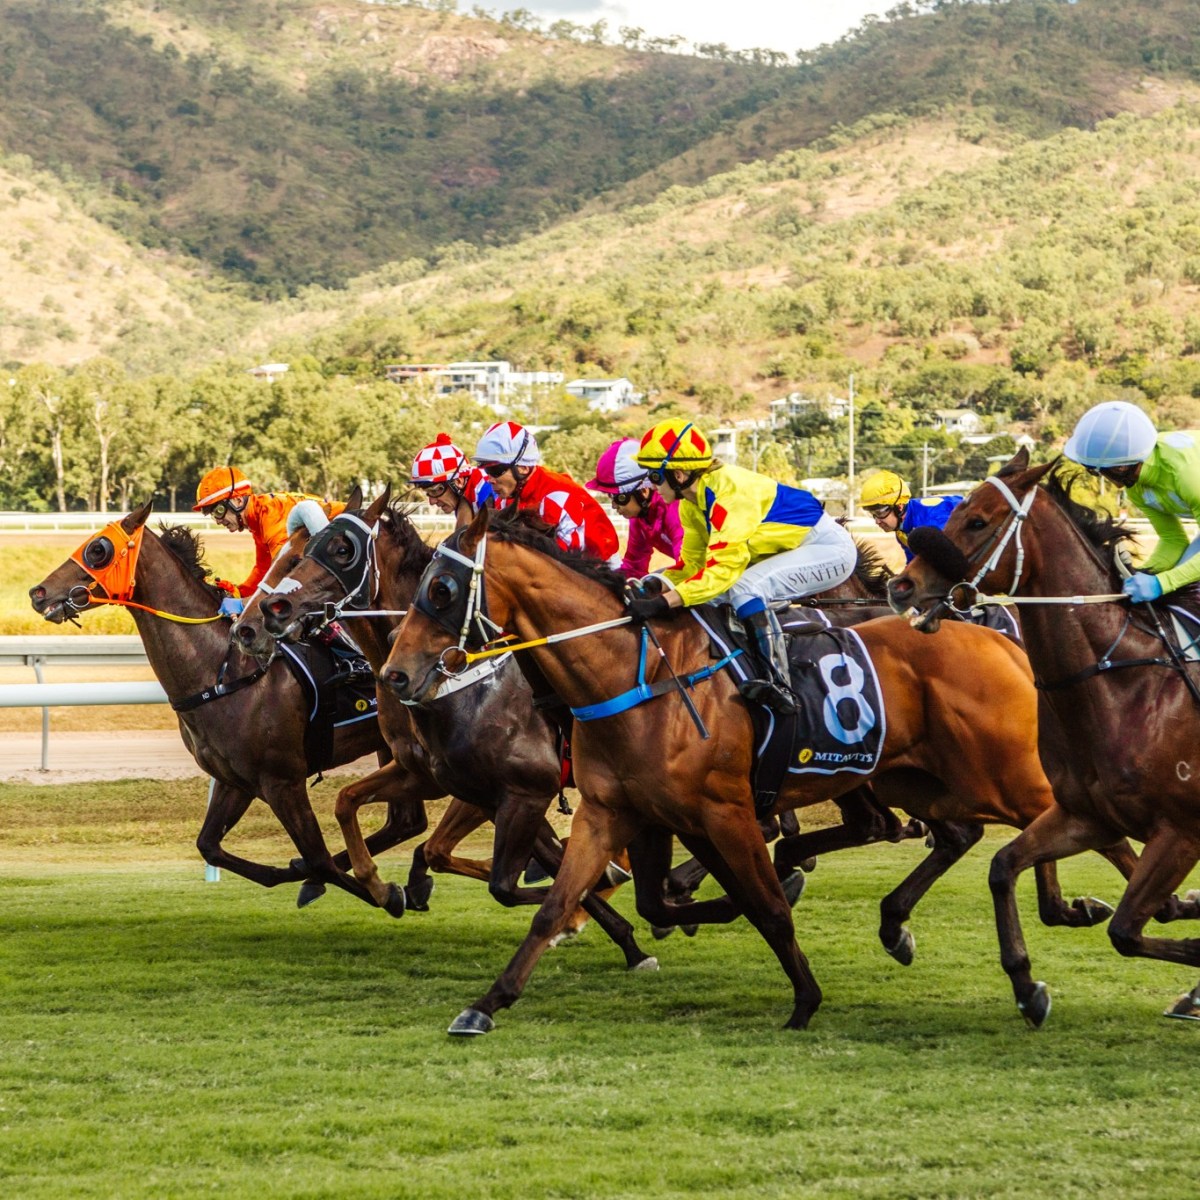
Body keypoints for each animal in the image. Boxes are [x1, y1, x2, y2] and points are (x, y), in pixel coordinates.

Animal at [28, 496, 410, 907]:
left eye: (98, 549)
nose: (38, 593)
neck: (224, 672)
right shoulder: (235, 781)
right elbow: (208, 845)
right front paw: (291, 874)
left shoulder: (283, 782)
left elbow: (319, 859)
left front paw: (386, 894)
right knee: (405, 822)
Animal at [229, 492, 662, 969]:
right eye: (305, 551)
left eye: (341, 550)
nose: (263, 617)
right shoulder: (432, 775)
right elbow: (352, 804)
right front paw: (386, 888)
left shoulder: (515, 785)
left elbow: (523, 867)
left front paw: (612, 925)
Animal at [379, 506, 1128, 1032]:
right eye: (422, 584)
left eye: (442, 588)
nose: (395, 674)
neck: (635, 674)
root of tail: (990, 633)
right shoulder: (614, 811)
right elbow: (564, 904)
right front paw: (487, 1003)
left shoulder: (722, 808)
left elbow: (763, 905)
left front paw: (804, 996)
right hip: (915, 777)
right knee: (967, 835)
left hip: (1001, 772)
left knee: (1087, 829)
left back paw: (1066, 935)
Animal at [888, 451, 1200, 1022]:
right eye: (954, 511)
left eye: (976, 521)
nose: (900, 587)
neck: (1118, 681)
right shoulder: (1085, 814)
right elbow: (1002, 866)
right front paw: (1026, 983)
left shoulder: (1180, 830)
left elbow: (1127, 930)